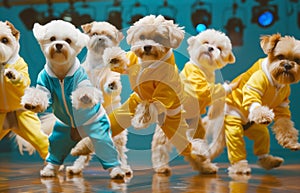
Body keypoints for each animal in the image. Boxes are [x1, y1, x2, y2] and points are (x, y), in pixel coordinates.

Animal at [20, 20, 124, 179]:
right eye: (52, 38)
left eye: (68, 40)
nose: (59, 45)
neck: (61, 73)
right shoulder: (44, 84)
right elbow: (40, 94)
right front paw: (32, 102)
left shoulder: (86, 81)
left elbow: (98, 86)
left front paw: (90, 95)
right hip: (61, 135)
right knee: (59, 151)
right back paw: (54, 169)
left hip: (100, 132)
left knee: (109, 149)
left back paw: (118, 170)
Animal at [67, 21, 132, 175]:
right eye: (94, 33)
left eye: (109, 36)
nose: (101, 38)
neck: (97, 62)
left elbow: (110, 83)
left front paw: (112, 84)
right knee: (85, 151)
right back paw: (76, 167)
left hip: (118, 137)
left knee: (120, 152)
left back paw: (124, 168)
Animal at [152, 29, 237, 174]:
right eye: (206, 42)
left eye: (219, 48)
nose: (210, 48)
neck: (203, 69)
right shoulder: (198, 85)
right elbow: (211, 90)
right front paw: (229, 87)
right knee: (162, 147)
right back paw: (162, 166)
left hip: (196, 127)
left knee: (192, 145)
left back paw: (204, 164)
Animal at [212, 33, 300, 175]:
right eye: (280, 56)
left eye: (297, 60)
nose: (287, 65)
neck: (276, 82)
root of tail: (244, 126)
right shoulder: (253, 88)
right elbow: (254, 102)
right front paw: (263, 116)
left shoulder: (282, 107)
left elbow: (286, 125)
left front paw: (291, 142)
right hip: (233, 126)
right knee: (236, 147)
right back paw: (240, 167)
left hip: (257, 131)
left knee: (262, 142)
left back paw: (269, 161)